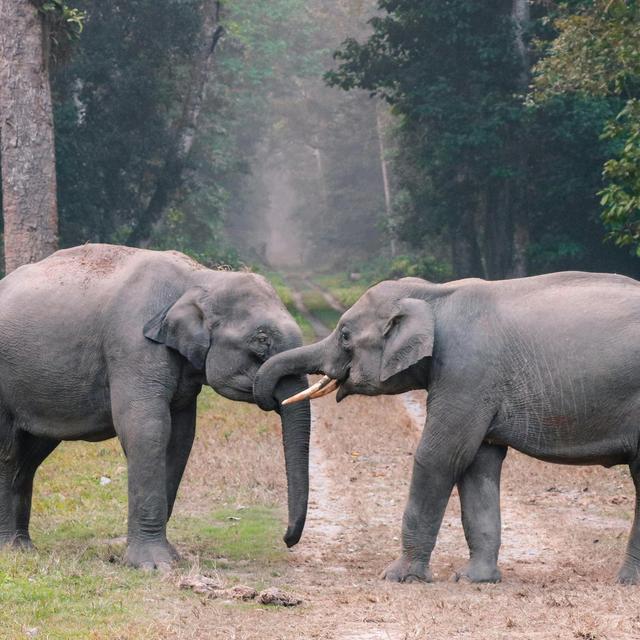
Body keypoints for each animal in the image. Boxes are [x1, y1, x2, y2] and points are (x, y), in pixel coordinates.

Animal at [0, 244, 310, 569]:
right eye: (261, 340)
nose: (287, 539)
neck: (200, 278)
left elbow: (180, 438)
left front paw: (171, 557)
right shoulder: (133, 347)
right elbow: (147, 430)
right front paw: (154, 566)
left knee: (30, 456)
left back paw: (23, 547)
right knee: (8, 452)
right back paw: (12, 548)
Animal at [254, 272, 640, 584]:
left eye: (345, 335)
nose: (288, 541)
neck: (434, 294)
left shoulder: (467, 373)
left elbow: (440, 456)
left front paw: (398, 577)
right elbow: (478, 464)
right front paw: (474, 580)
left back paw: (624, 583)